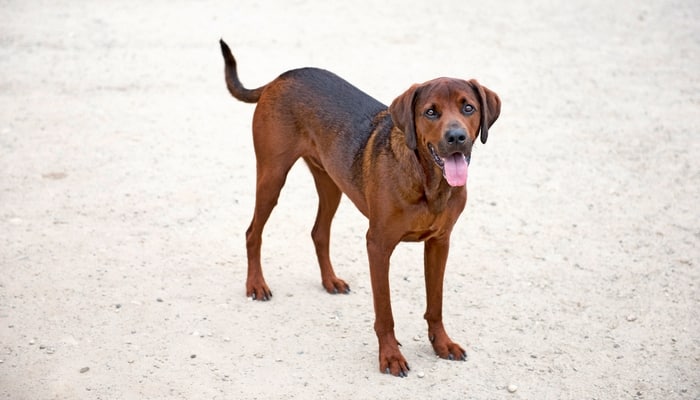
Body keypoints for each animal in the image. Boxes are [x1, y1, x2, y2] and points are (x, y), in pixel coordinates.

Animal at [219, 39, 498, 376]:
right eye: (431, 112)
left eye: (468, 107)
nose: (456, 137)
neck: (428, 181)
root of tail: (280, 78)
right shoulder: (378, 245)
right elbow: (385, 312)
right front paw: (390, 356)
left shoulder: (439, 243)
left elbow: (436, 303)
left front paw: (441, 343)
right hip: (272, 177)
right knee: (253, 232)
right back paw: (256, 285)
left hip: (331, 185)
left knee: (318, 232)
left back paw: (330, 281)